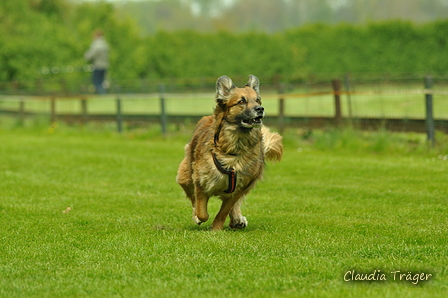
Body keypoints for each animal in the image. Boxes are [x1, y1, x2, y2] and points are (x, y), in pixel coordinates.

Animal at [177, 74, 282, 230]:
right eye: (241, 101)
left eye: (257, 100)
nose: (260, 108)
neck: (234, 148)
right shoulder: (201, 181)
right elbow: (202, 211)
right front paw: (199, 217)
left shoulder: (239, 188)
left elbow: (224, 211)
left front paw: (216, 229)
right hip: (185, 175)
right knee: (193, 198)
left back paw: (237, 219)